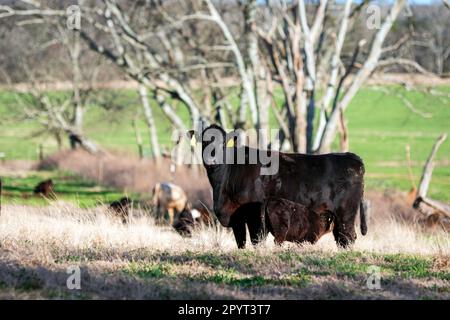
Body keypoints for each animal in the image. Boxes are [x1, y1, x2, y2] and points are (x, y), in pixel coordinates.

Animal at [188, 124, 368, 249]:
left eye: (223, 144)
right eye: (204, 142)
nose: (212, 160)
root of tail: (352, 157)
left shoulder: (255, 215)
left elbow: (257, 240)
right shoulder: (236, 218)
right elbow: (241, 243)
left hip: (346, 213)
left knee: (347, 237)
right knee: (341, 237)